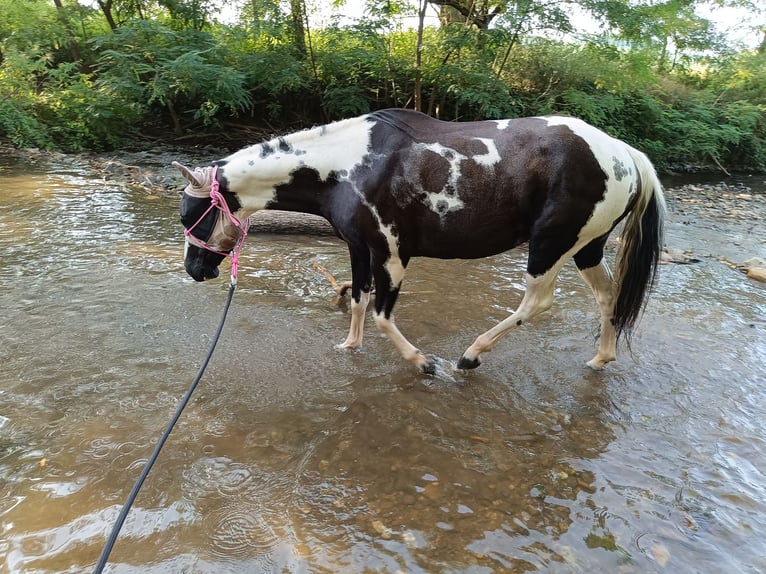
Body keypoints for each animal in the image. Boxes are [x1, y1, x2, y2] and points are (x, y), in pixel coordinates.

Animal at [174, 108, 665, 374]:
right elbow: (359, 301)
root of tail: (624, 153)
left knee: (537, 302)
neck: (347, 167)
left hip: (550, 246)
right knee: (607, 297)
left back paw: (471, 355)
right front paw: (349, 348)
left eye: (190, 215)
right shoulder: (360, 249)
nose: (196, 270)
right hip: (586, 249)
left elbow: (382, 315)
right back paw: (601, 358)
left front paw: (423, 362)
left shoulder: (392, 253)